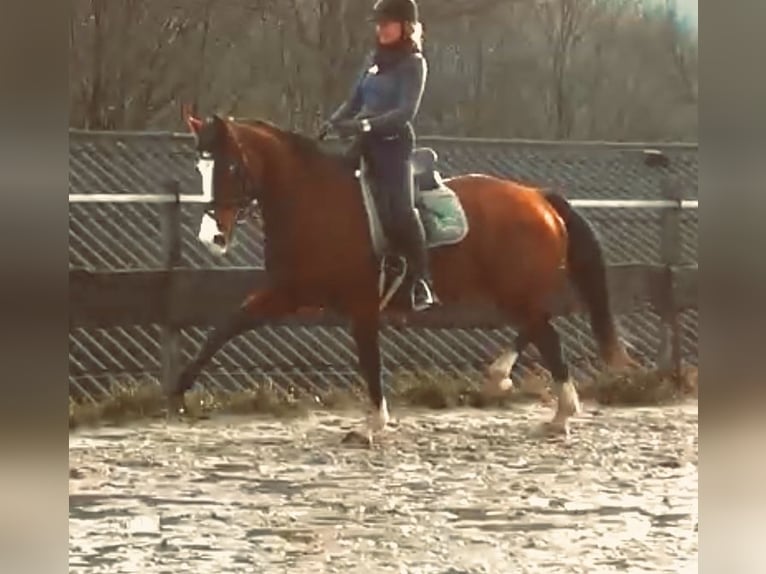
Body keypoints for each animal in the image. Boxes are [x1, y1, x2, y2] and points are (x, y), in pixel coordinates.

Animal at [173, 110, 634, 442]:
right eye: (200, 169)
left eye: (231, 167)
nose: (212, 237)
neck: (314, 200)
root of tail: (538, 196)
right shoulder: (287, 291)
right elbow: (230, 324)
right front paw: (178, 388)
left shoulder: (360, 303)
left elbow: (369, 358)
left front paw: (371, 425)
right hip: (513, 292)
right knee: (539, 326)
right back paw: (505, 378)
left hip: (515, 290)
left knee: (547, 334)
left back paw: (560, 413)